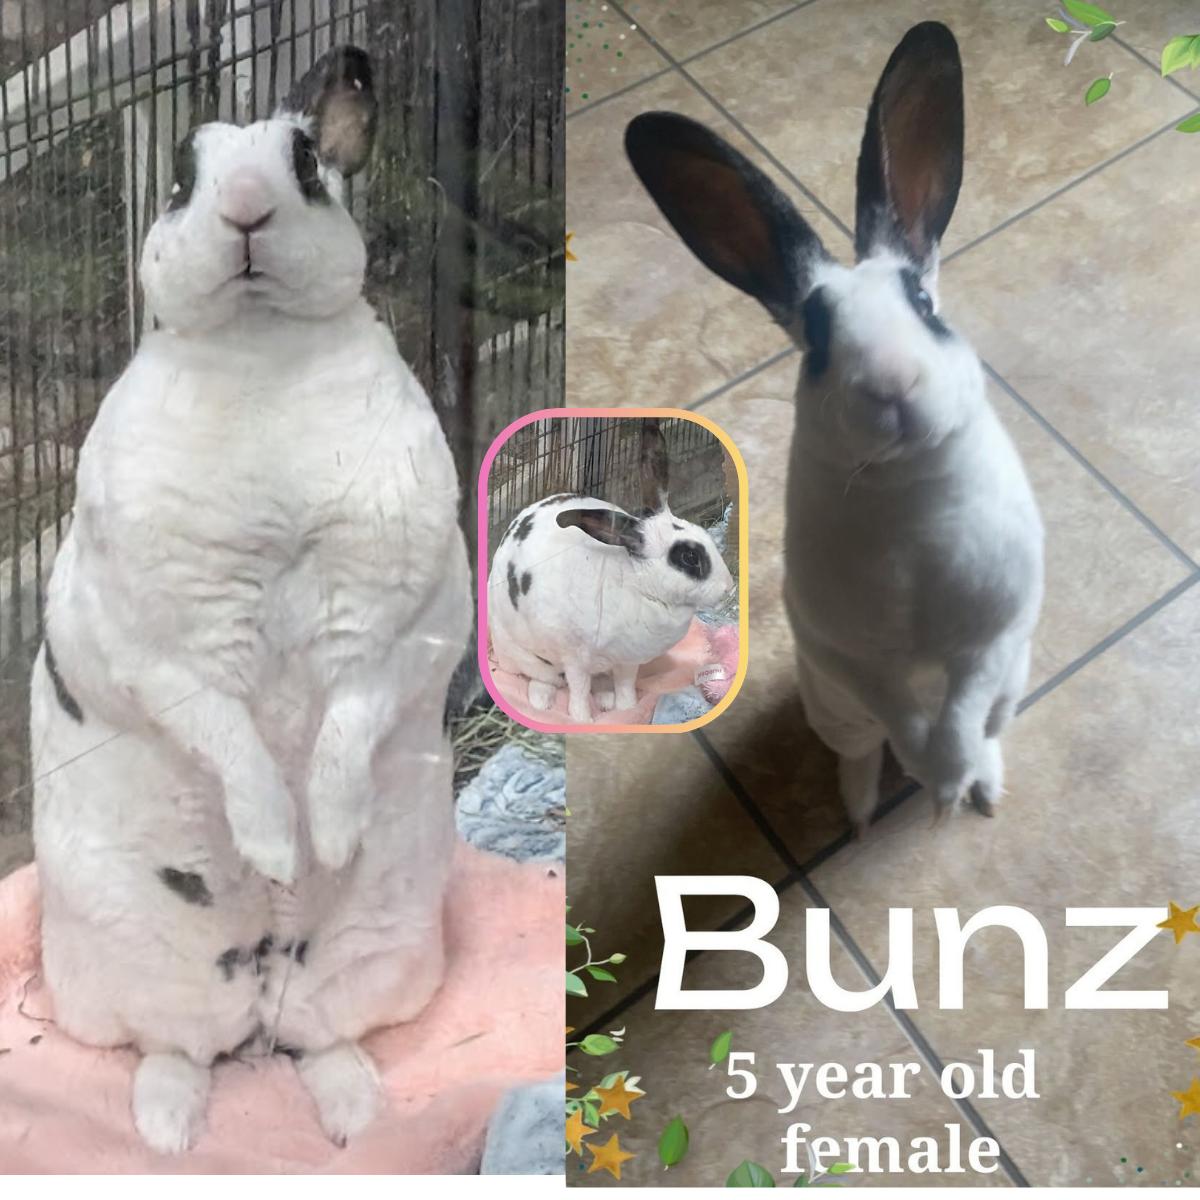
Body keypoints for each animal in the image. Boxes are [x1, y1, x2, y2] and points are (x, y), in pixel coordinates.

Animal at [28, 46, 472, 1154]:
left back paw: (355, 1117)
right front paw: (277, 844)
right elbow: (228, 736)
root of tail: (257, 1003)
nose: (243, 210)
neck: (263, 349)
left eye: (305, 164)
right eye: (181, 180)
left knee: (321, 1041)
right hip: (122, 975)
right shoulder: (161, 651)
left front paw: (333, 835)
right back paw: (167, 1131)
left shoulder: (399, 622)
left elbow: (347, 723)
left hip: (385, 958)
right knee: (173, 1051)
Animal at [488, 420, 733, 723]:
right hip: (522, 653)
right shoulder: (576, 658)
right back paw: (541, 701)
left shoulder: (627, 661)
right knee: (543, 677)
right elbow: (579, 690)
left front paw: (626, 710)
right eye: (688, 557)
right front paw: (582, 720)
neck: (636, 585)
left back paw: (605, 698)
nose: (729, 587)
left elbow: (625, 685)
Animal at [624, 21, 1043, 831]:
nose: (893, 383)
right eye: (817, 339)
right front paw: (932, 781)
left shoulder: (991, 637)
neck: (911, 499)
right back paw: (860, 813)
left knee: (986, 728)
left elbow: (959, 713)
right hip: (833, 707)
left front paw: (948, 788)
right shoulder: (852, 654)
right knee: (862, 750)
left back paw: (981, 791)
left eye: (923, 304)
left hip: (1014, 682)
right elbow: (905, 718)